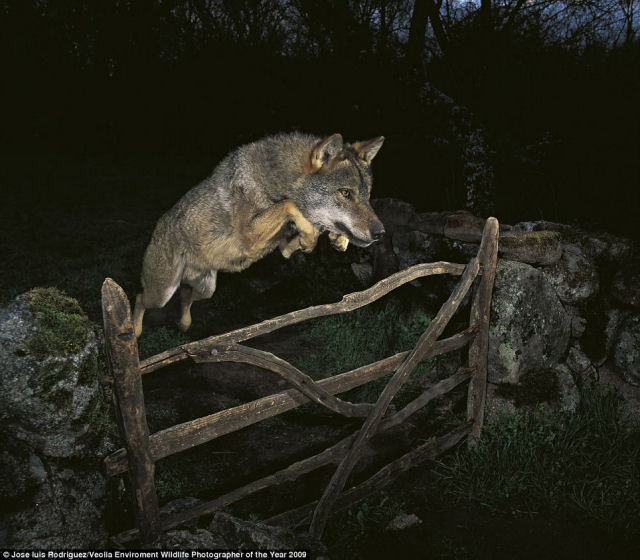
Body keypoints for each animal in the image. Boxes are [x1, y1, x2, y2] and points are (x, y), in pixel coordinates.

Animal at [132, 131, 384, 336]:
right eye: (345, 193)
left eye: (368, 195)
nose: (380, 233)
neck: (275, 182)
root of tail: (157, 229)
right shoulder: (250, 235)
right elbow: (290, 204)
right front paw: (312, 236)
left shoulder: (282, 247)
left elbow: (305, 230)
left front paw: (336, 239)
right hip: (162, 294)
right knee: (140, 298)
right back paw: (133, 331)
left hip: (206, 289)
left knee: (185, 296)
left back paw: (184, 324)